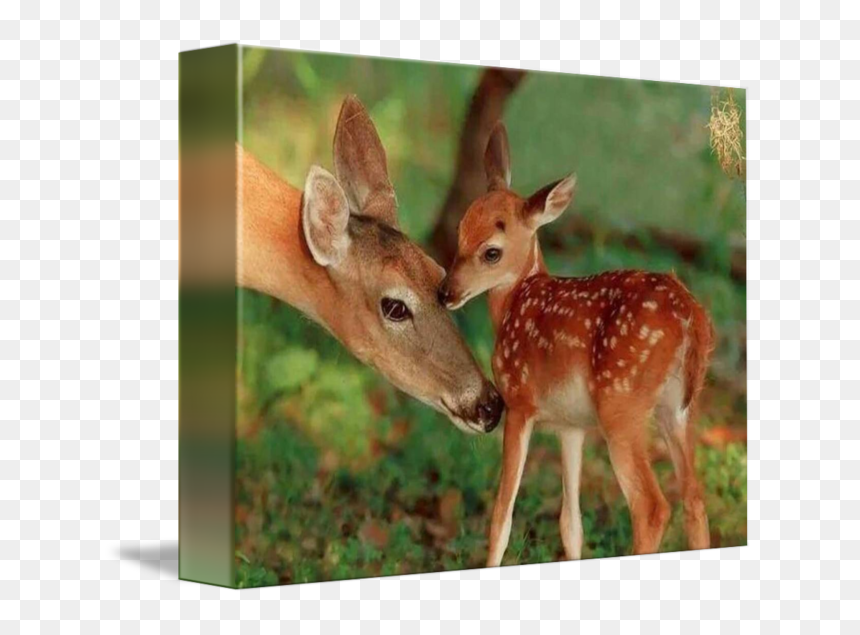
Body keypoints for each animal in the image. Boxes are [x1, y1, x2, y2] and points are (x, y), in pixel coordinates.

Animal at [438, 122, 714, 566]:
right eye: (460, 230)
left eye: (491, 252)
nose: (445, 292)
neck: (517, 301)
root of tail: (692, 316)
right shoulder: (571, 425)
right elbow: (571, 523)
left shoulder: (519, 401)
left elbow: (501, 517)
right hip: (680, 408)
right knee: (694, 498)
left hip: (621, 402)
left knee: (652, 506)